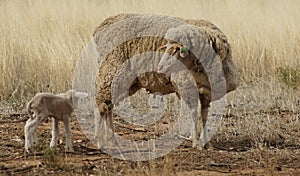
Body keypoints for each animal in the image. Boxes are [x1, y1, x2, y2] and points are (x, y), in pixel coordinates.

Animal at [94, 13, 239, 149]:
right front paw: (197, 143)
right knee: (101, 106)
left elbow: (204, 115)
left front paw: (207, 144)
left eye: (176, 50)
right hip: (111, 71)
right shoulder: (187, 87)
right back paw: (100, 140)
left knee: (108, 106)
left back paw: (112, 140)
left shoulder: (206, 90)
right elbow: (194, 114)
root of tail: (103, 26)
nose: (160, 67)